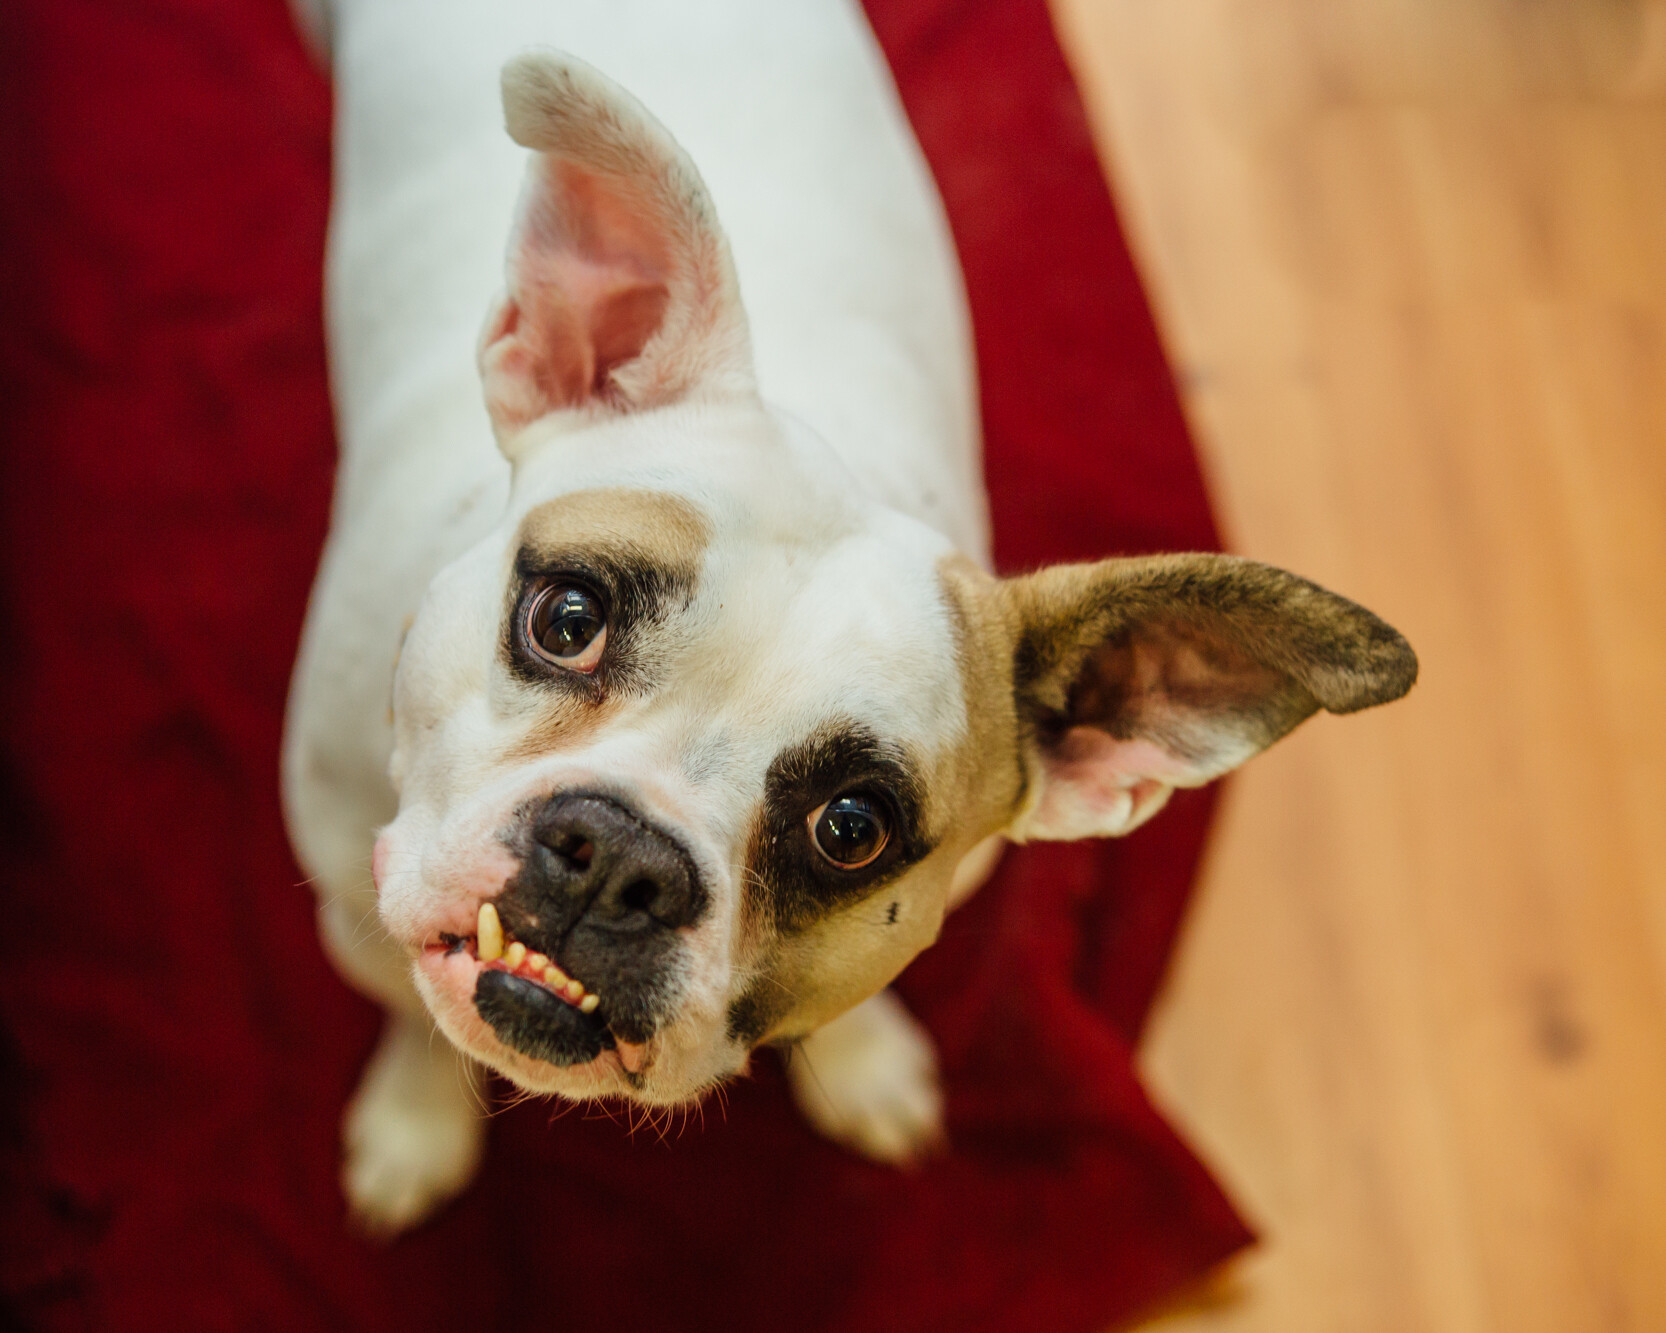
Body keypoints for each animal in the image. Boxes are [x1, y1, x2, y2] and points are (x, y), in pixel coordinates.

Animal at [283, 0, 1419, 1233]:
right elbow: (409, 1011)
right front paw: (414, 1119)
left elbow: (844, 1001)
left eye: (850, 828)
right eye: (567, 615)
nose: (620, 858)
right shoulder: (350, 904)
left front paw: (865, 1062)